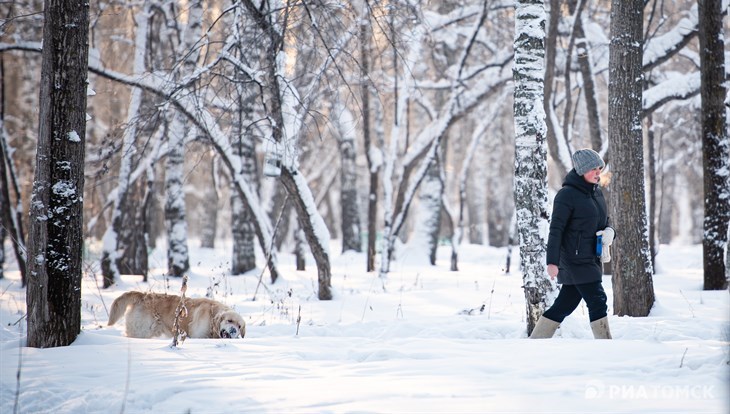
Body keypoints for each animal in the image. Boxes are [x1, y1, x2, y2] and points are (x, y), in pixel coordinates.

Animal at [107, 292, 245, 340]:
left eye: (239, 326)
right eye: (229, 321)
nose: (233, 331)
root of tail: (142, 295)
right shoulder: (198, 336)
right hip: (141, 331)